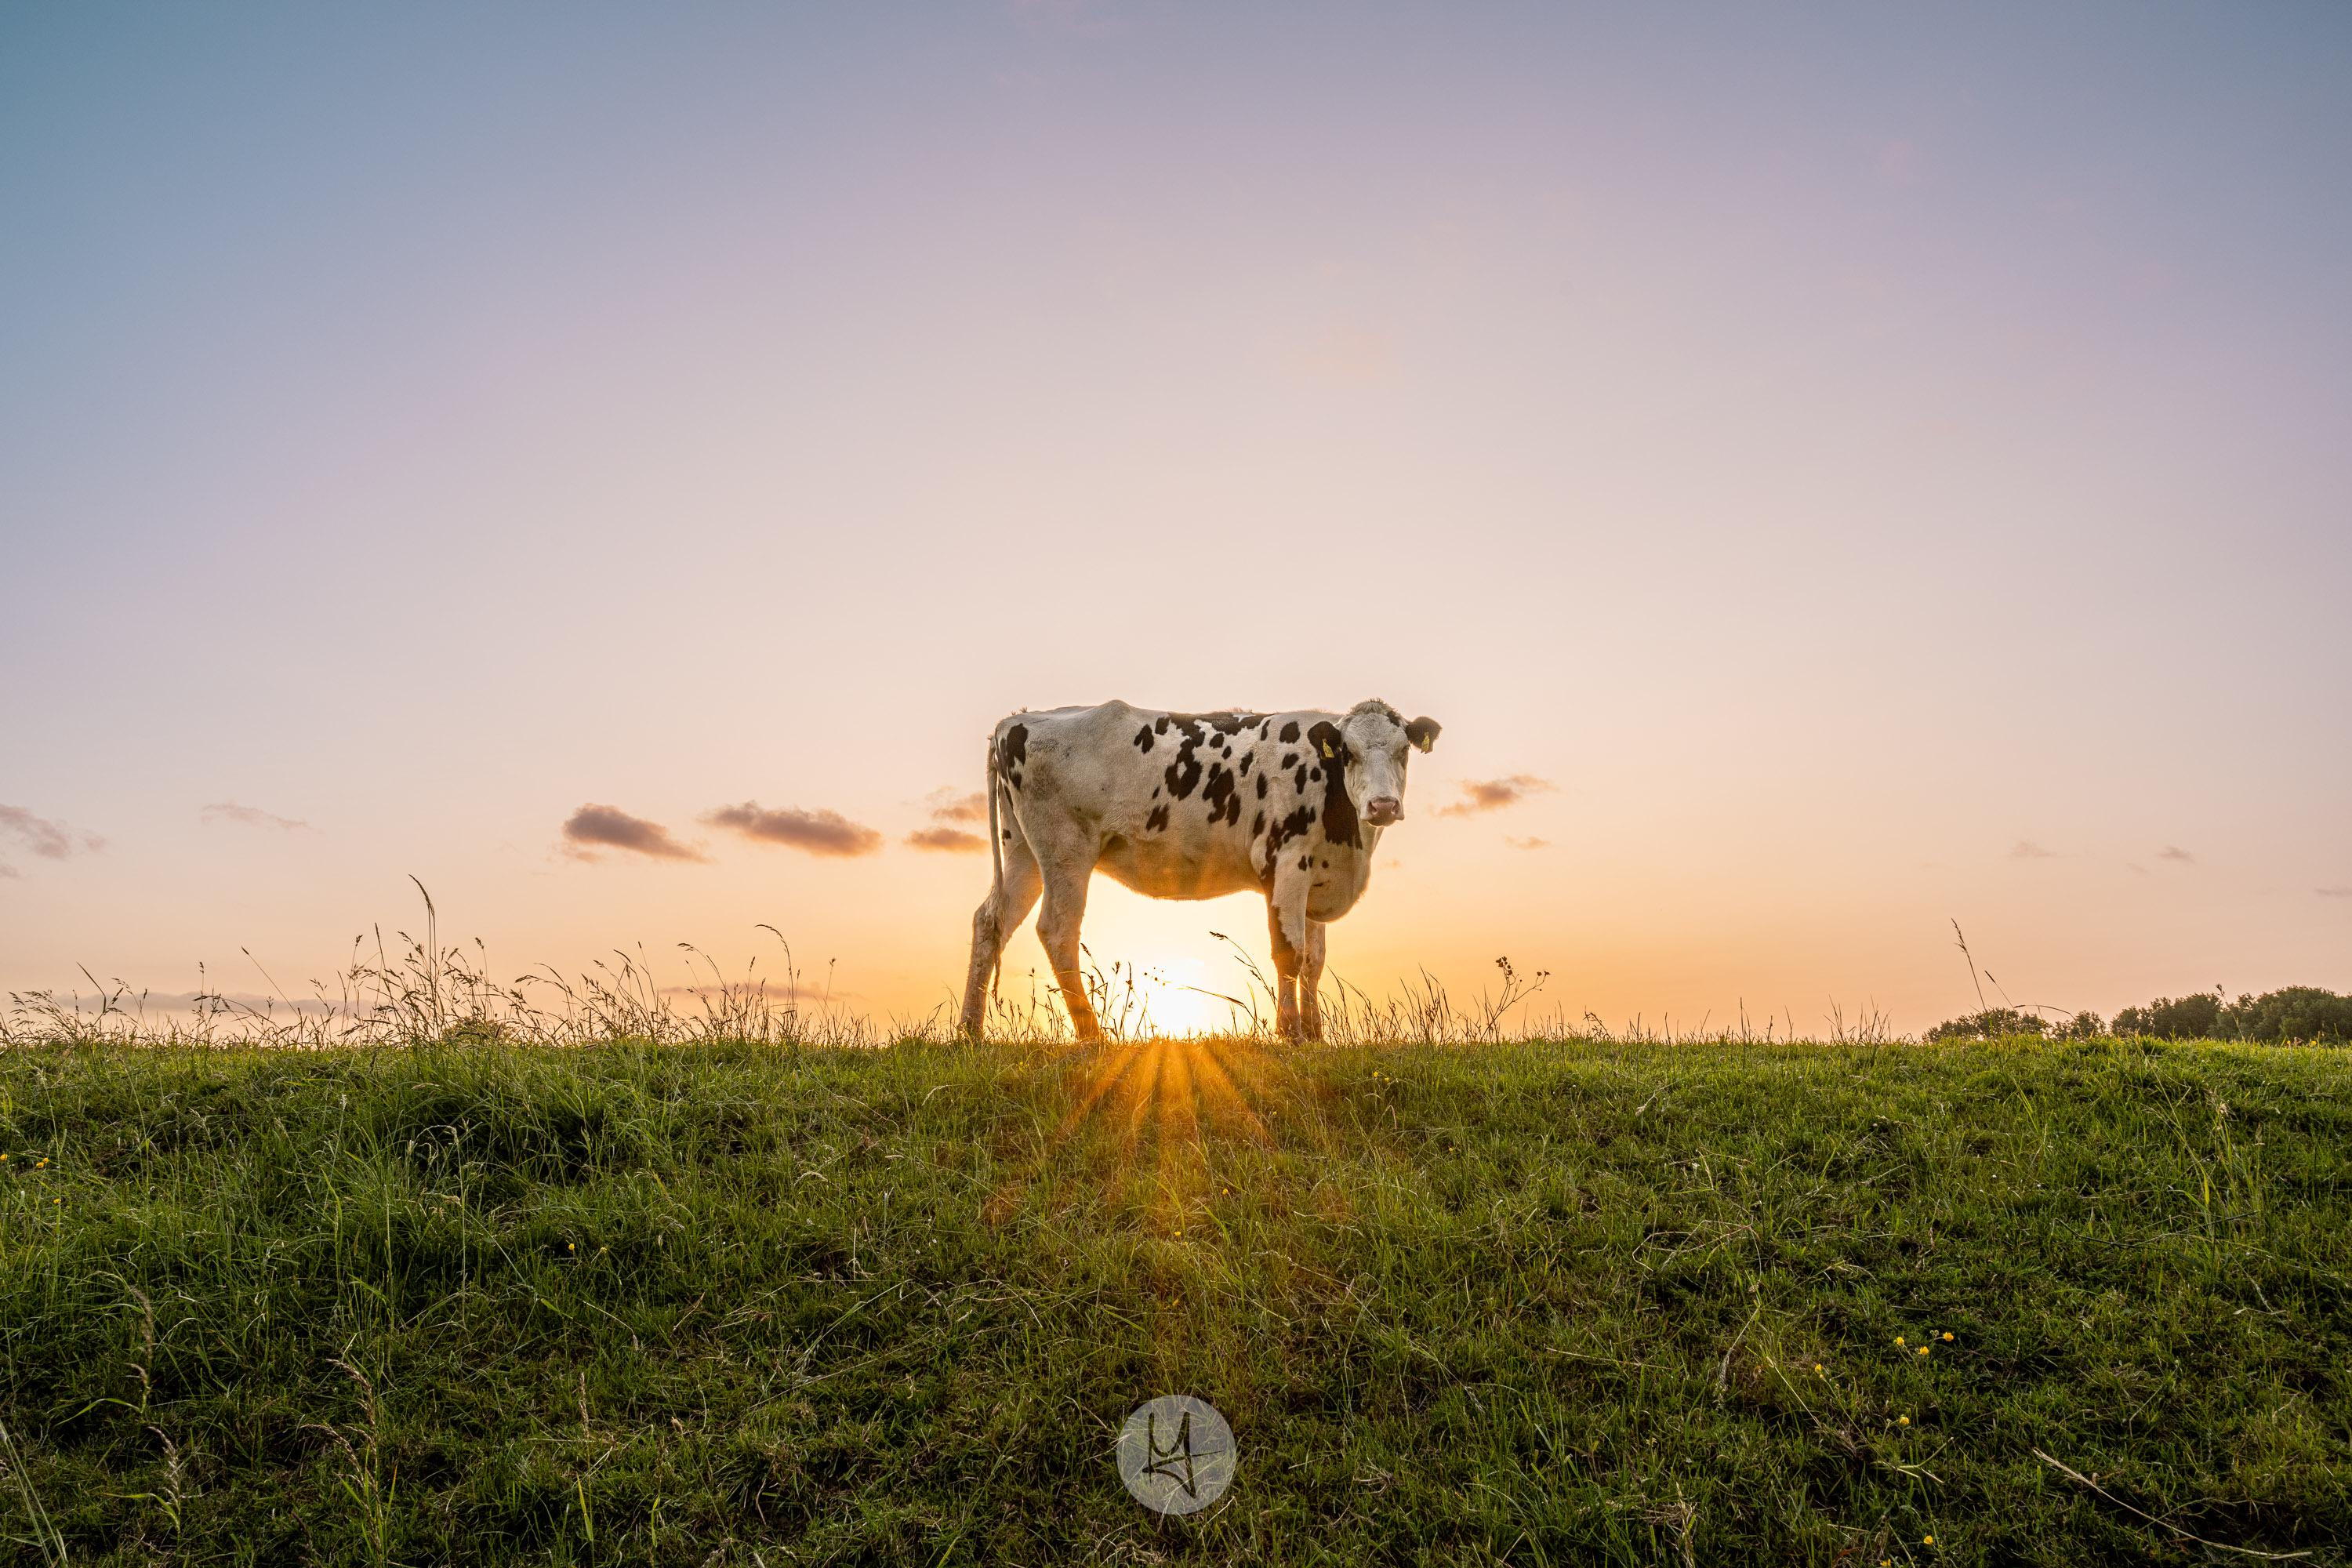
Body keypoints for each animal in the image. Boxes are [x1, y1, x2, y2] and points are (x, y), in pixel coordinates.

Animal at [958, 699, 1442, 1042]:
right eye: (1348, 753)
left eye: (1403, 751)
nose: (1382, 805)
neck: (1350, 842)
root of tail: (1017, 721)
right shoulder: (1285, 862)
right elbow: (1290, 952)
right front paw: (1291, 1035)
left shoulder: (1317, 874)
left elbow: (1315, 960)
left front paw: (1317, 1036)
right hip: (1065, 850)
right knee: (1058, 929)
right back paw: (1092, 1036)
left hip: (1022, 850)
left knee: (991, 920)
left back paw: (970, 1032)